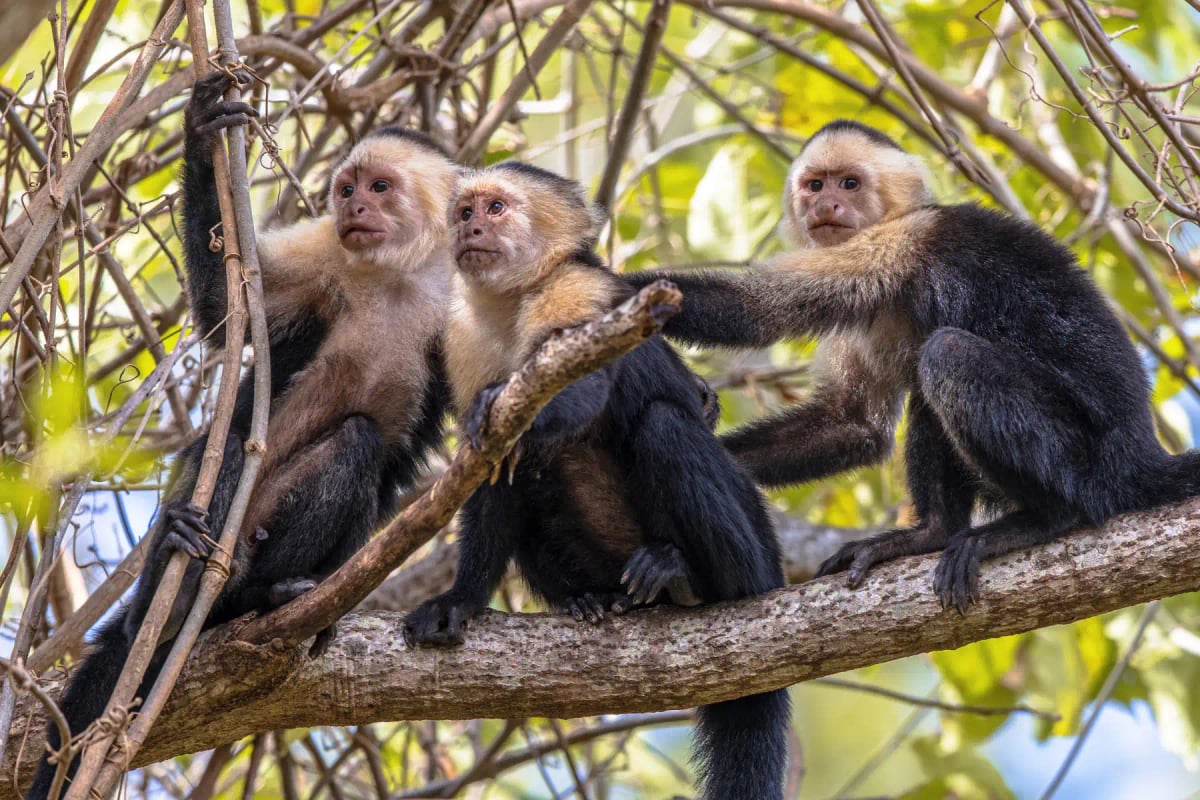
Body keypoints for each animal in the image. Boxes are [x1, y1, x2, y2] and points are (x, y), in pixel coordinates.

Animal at [26, 71, 457, 799]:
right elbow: (227, 318)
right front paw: (203, 132)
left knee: (360, 447)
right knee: (226, 445)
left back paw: (269, 598)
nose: (354, 208)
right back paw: (176, 584)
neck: (398, 271)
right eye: (348, 188)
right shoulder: (327, 250)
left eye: (379, 187)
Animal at [401, 162, 790, 800]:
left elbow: (582, 383)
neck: (515, 298)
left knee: (665, 427)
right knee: (533, 479)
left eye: (496, 208)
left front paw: (506, 402)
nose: (470, 229)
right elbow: (490, 473)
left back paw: (697, 578)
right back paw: (593, 598)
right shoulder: (461, 333)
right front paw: (461, 600)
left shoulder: (579, 288)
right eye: (464, 211)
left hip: (757, 547)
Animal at [627, 118, 1200, 613]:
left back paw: (1046, 518)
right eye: (814, 185)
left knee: (947, 356)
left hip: (1089, 459)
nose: (827, 204)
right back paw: (933, 533)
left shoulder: (894, 244)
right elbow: (851, 423)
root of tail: (1140, 452)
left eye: (850, 183)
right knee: (928, 388)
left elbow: (754, 310)